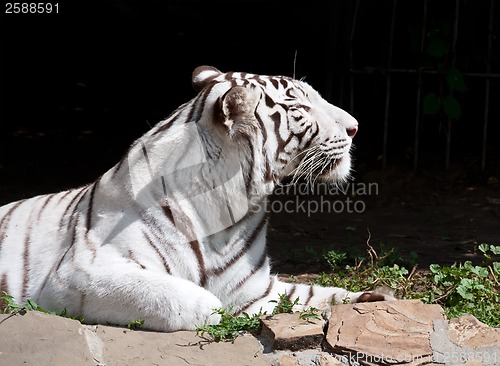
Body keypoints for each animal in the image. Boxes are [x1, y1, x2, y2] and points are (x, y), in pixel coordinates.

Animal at [0, 66, 392, 332]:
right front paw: (215, 313)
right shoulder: (80, 272)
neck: (232, 212)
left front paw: (374, 298)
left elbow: (314, 295)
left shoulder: (256, 290)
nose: (356, 127)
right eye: (301, 106)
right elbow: (188, 299)